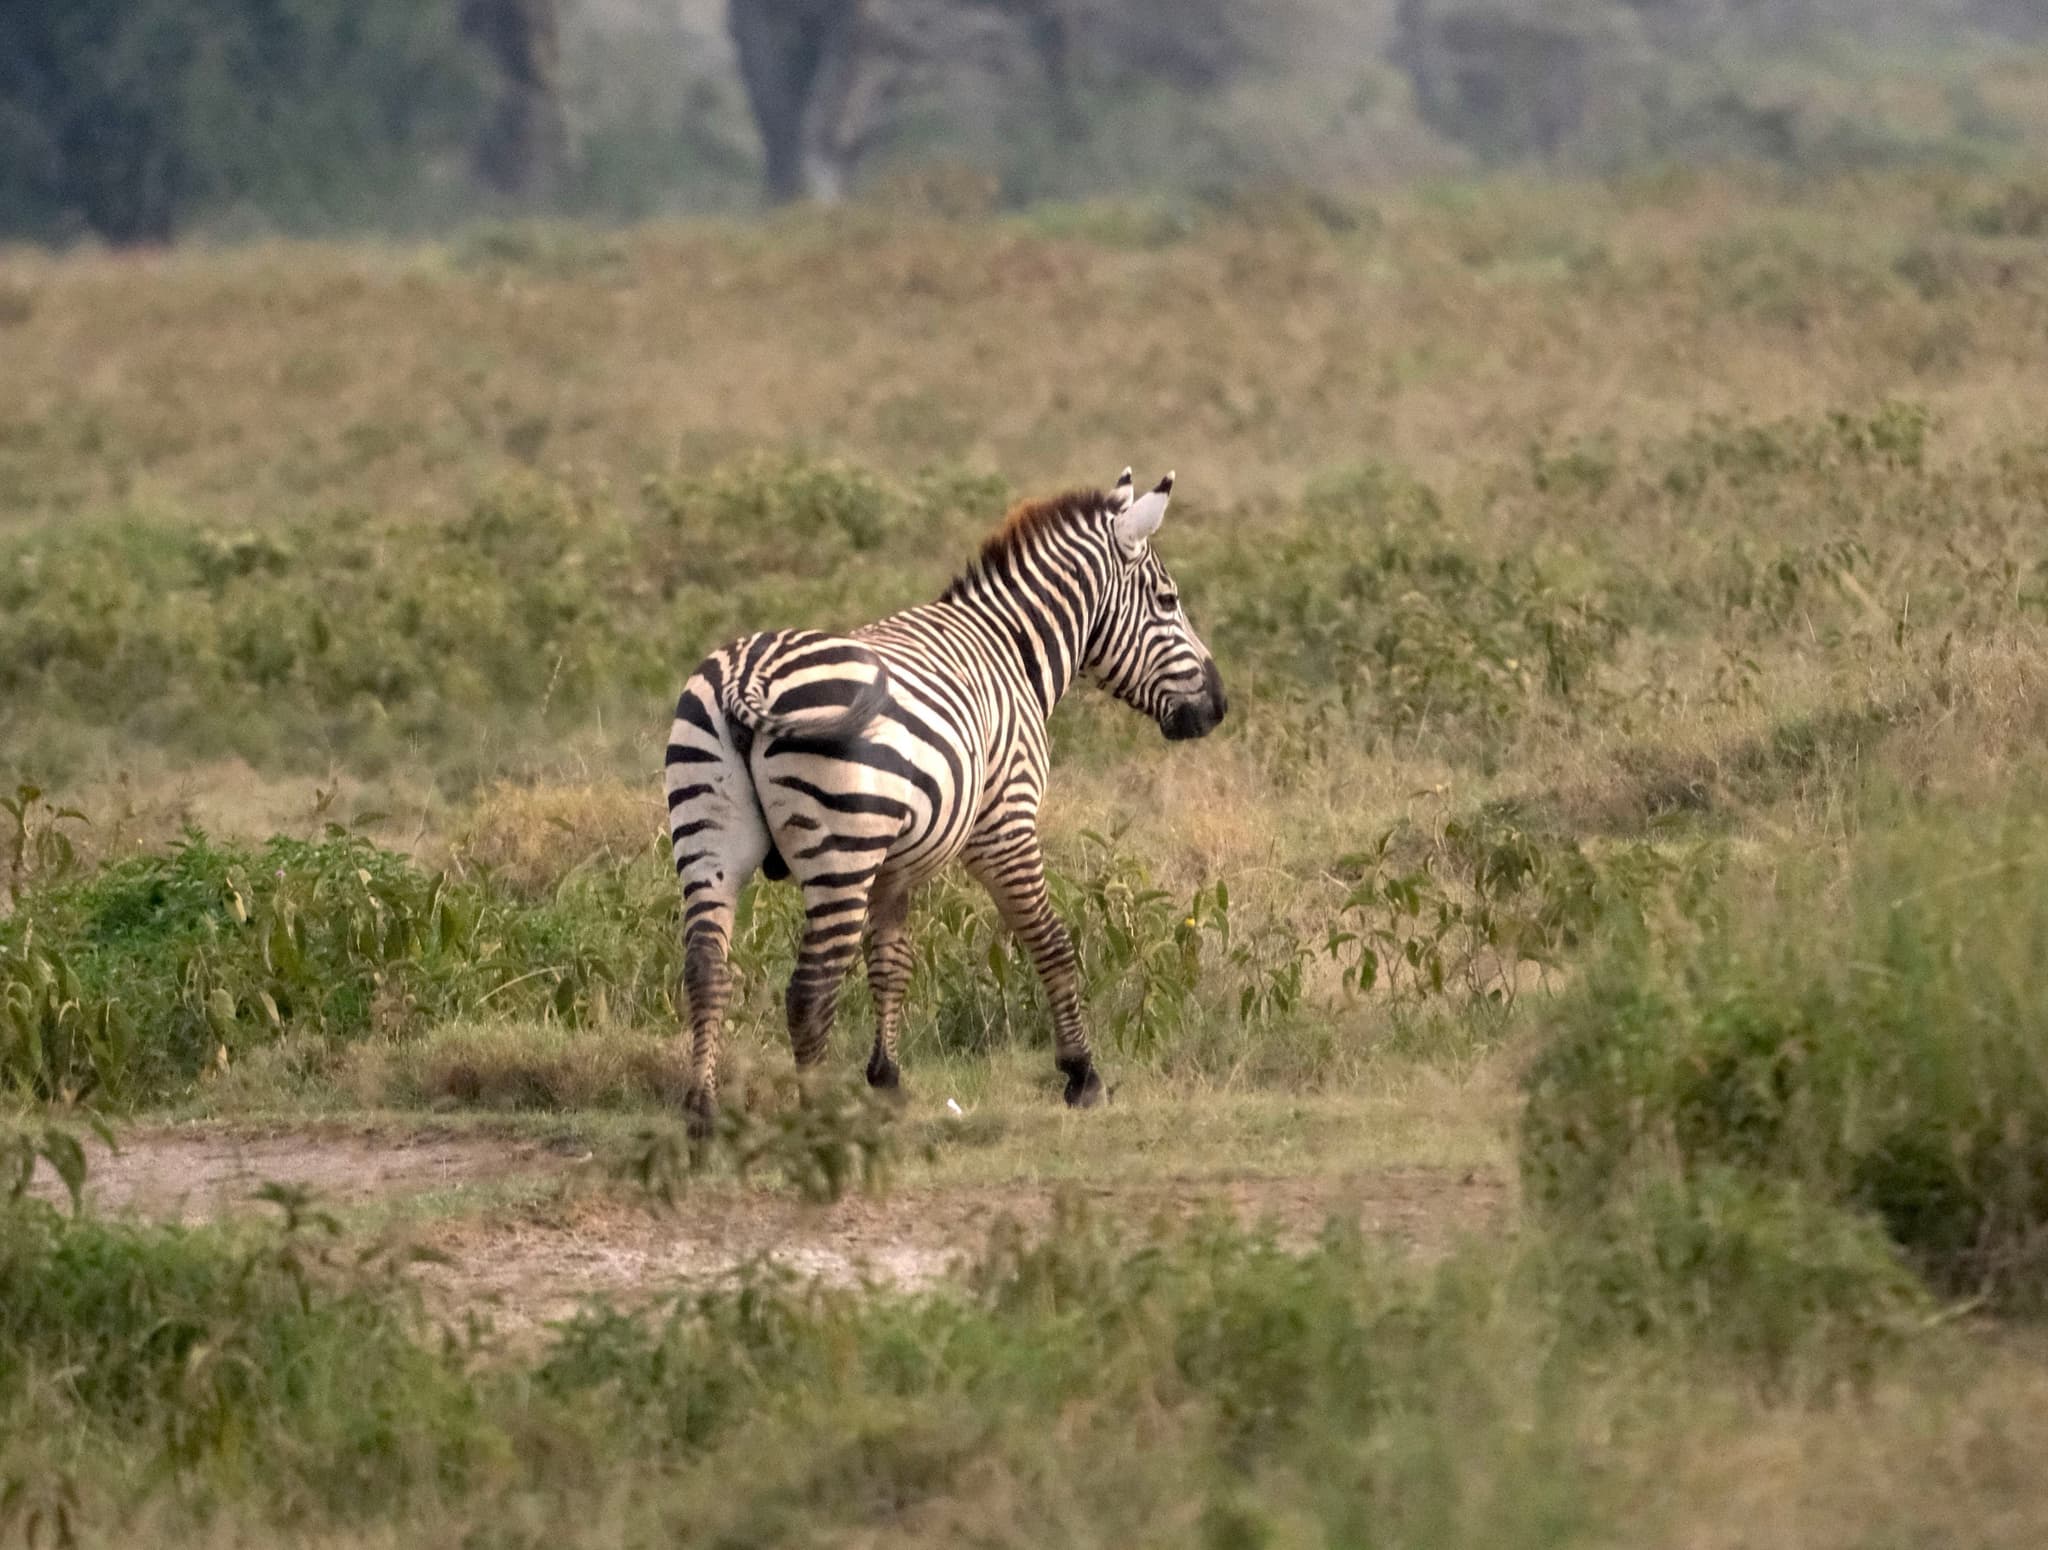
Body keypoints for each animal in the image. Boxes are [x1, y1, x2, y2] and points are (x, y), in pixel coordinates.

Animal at [662, 468, 1226, 1131]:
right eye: (1168, 601)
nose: (1218, 706)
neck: (1012, 651)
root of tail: (748, 678)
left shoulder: (893, 868)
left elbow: (891, 962)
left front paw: (886, 1080)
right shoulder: (1005, 823)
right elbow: (1051, 941)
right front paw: (1081, 1074)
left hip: (707, 832)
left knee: (706, 968)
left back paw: (702, 1112)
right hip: (839, 852)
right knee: (809, 989)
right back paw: (820, 1115)